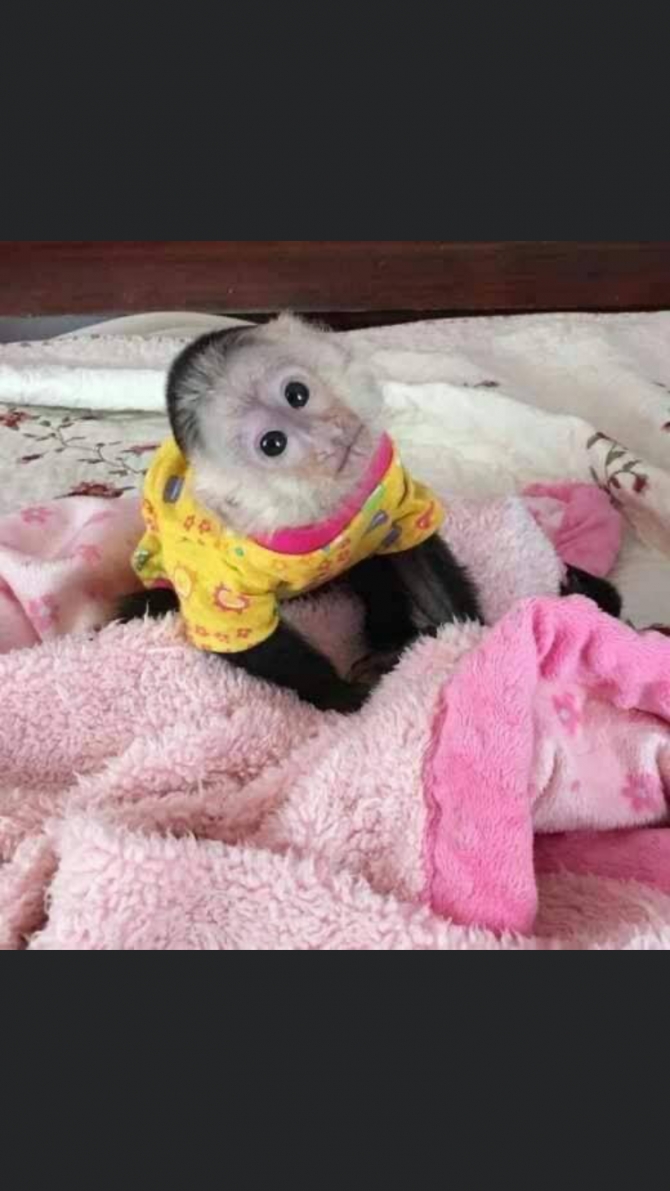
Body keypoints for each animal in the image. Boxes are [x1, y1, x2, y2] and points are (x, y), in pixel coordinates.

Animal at [119, 315, 621, 712]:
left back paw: (392, 642)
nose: (330, 437)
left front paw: (469, 642)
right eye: (273, 444)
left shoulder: (384, 474)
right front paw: (350, 699)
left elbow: (412, 551)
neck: (320, 503)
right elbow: (242, 636)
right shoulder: (214, 563)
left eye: (297, 394)